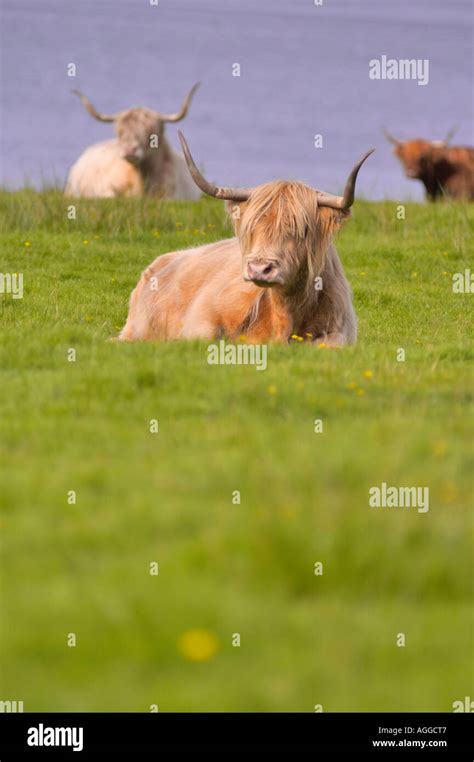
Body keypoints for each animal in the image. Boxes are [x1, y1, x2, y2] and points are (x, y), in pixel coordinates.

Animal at [115, 135, 374, 346]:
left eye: (301, 229)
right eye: (253, 226)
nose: (259, 268)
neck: (286, 314)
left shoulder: (340, 332)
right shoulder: (201, 319)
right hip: (135, 329)